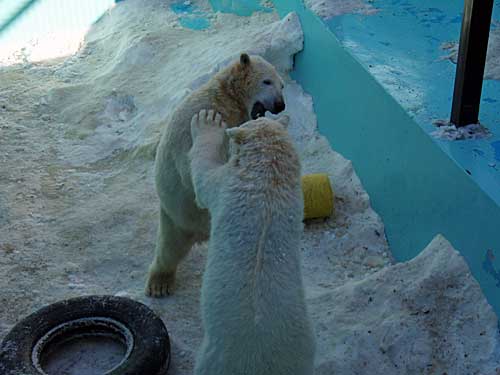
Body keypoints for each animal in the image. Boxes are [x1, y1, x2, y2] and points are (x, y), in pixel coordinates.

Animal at [146, 53, 286, 300]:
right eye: (267, 81)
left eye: (282, 85)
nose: (280, 105)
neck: (226, 98)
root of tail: (199, 233)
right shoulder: (202, 117)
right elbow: (193, 167)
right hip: (175, 216)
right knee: (168, 248)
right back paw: (159, 283)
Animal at [189, 110, 314, 375]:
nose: (264, 112)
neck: (269, 175)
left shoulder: (225, 184)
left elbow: (203, 177)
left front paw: (207, 122)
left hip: (216, 357)